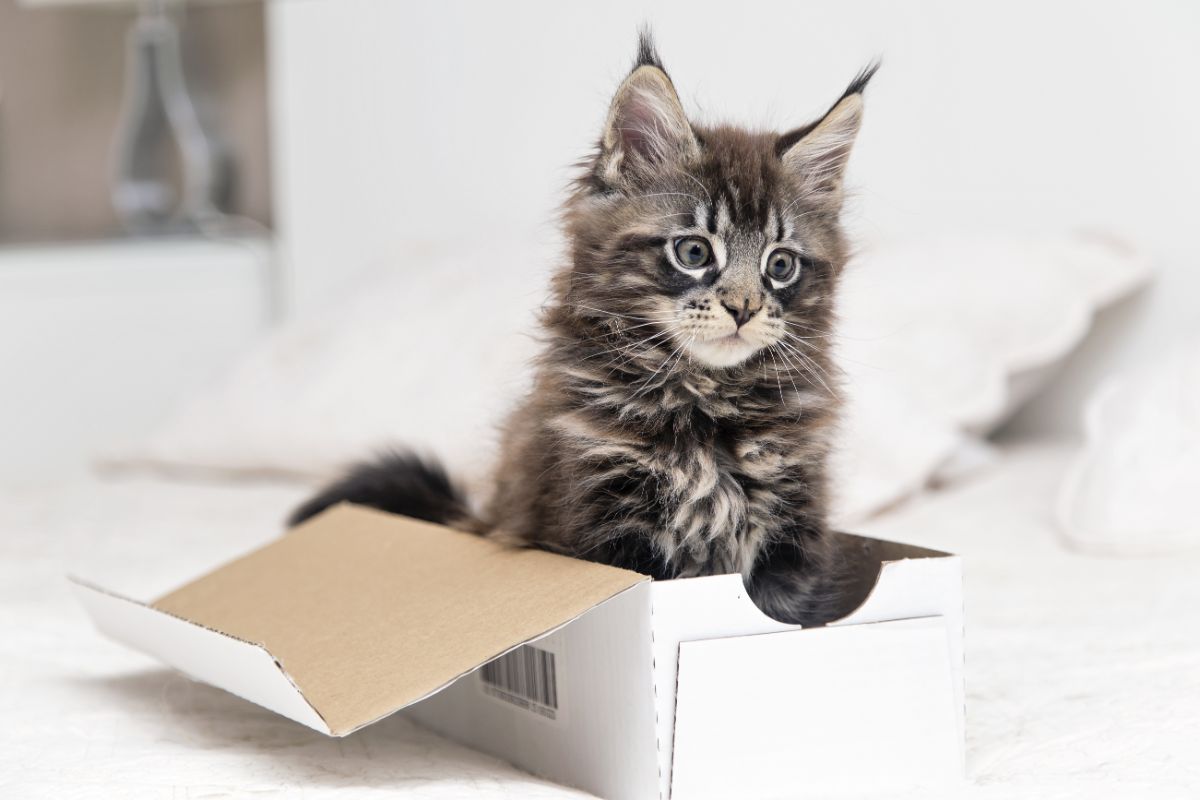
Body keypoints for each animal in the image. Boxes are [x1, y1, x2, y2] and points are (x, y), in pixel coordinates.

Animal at [290, 34, 873, 623]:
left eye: (781, 265)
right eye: (693, 252)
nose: (744, 307)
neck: (705, 406)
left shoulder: (791, 529)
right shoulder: (602, 522)